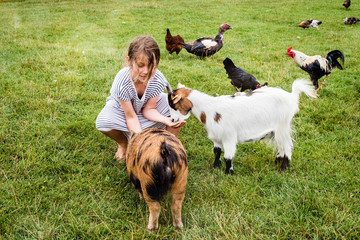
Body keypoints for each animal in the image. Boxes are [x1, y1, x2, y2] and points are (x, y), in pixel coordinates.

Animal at [167, 79, 316, 173]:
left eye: (174, 105)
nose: (172, 119)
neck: (210, 108)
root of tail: (291, 96)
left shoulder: (228, 137)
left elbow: (228, 156)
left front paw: (228, 173)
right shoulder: (217, 137)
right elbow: (217, 151)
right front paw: (216, 167)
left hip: (282, 126)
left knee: (287, 146)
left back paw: (283, 168)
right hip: (276, 130)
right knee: (281, 146)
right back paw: (277, 161)